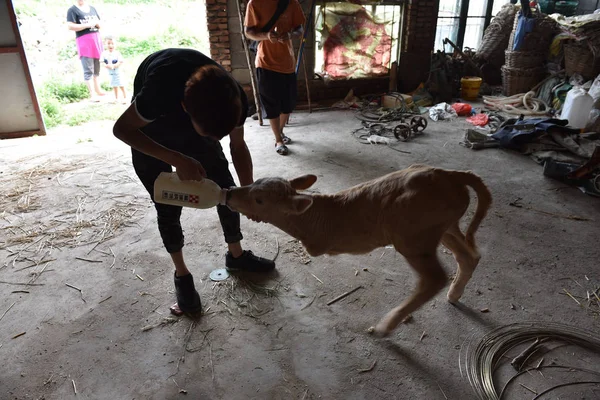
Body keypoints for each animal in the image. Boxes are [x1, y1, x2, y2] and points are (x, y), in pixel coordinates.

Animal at [225, 164, 492, 336]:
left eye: (259, 199)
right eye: (254, 182)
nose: (229, 192)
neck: (313, 220)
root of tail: (451, 175)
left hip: (413, 238)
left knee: (435, 278)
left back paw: (385, 326)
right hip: (445, 227)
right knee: (469, 256)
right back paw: (454, 294)